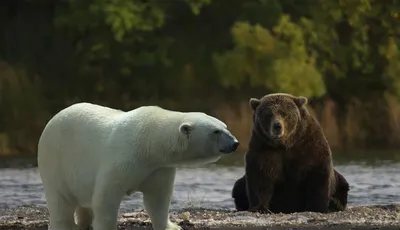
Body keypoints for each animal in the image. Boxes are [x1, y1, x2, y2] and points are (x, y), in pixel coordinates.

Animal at [37, 103, 239, 230]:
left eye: (225, 126)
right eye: (216, 131)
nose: (235, 143)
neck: (150, 142)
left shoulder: (158, 168)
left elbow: (158, 199)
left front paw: (171, 226)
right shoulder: (124, 157)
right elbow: (106, 196)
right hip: (56, 159)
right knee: (60, 199)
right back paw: (66, 225)